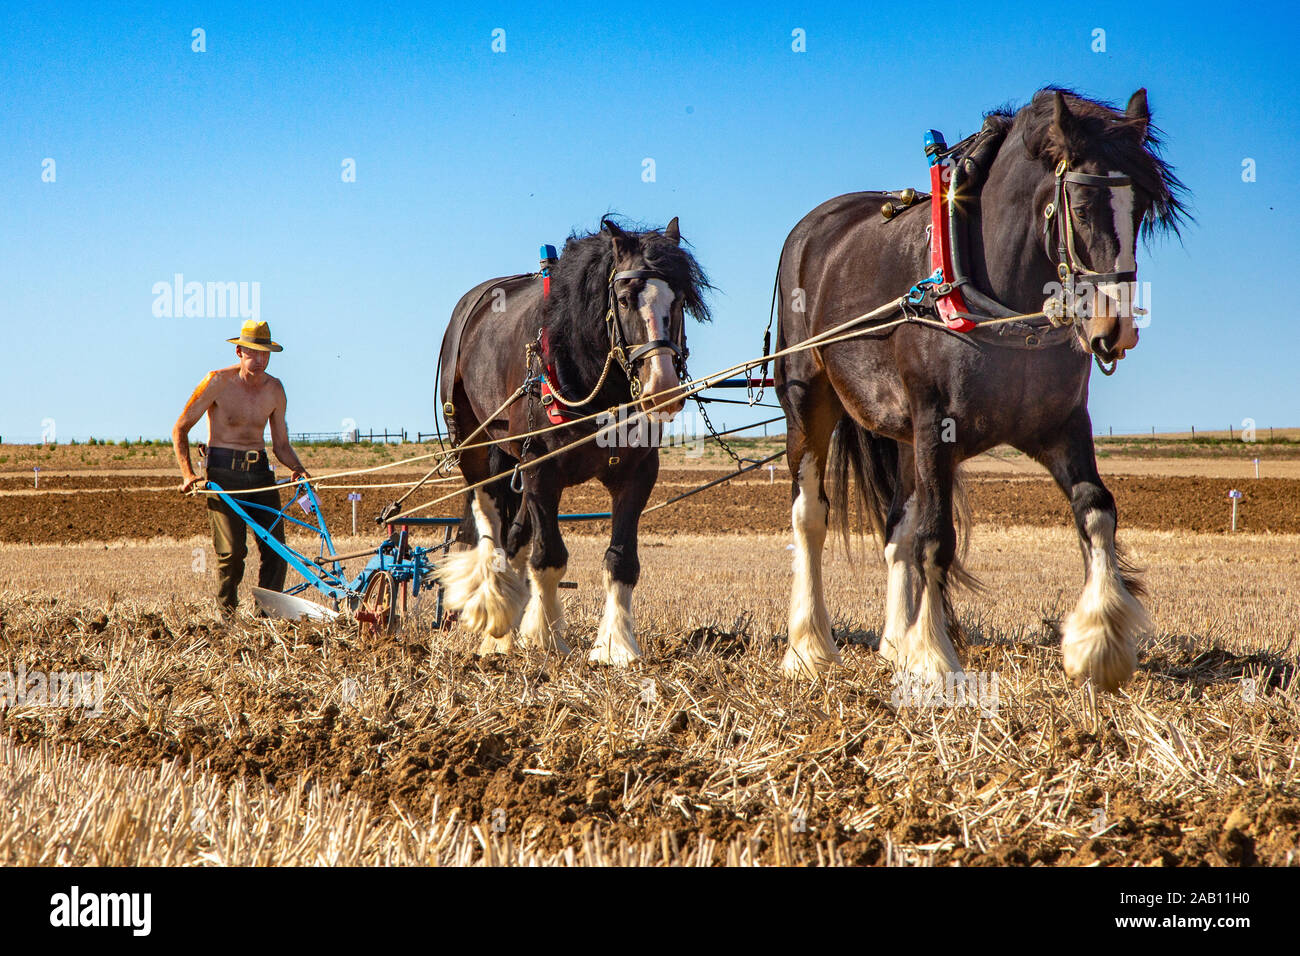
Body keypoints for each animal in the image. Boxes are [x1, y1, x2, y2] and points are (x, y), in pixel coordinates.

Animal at [436, 217, 711, 663]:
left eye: (680, 300)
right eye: (624, 298)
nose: (662, 389)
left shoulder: (638, 472)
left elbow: (621, 560)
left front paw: (616, 645)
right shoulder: (541, 469)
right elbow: (549, 557)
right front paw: (545, 638)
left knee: (515, 536)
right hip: (474, 446)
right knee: (490, 524)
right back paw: (496, 626)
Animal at [774, 88, 1188, 691]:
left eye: (1140, 212)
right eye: (1081, 208)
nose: (1115, 329)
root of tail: (811, 229)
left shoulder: (1061, 425)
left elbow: (1096, 509)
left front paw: (1098, 644)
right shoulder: (935, 426)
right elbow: (936, 538)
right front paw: (933, 660)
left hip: (903, 436)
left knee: (897, 527)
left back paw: (893, 643)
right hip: (809, 400)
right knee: (811, 516)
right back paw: (808, 648)